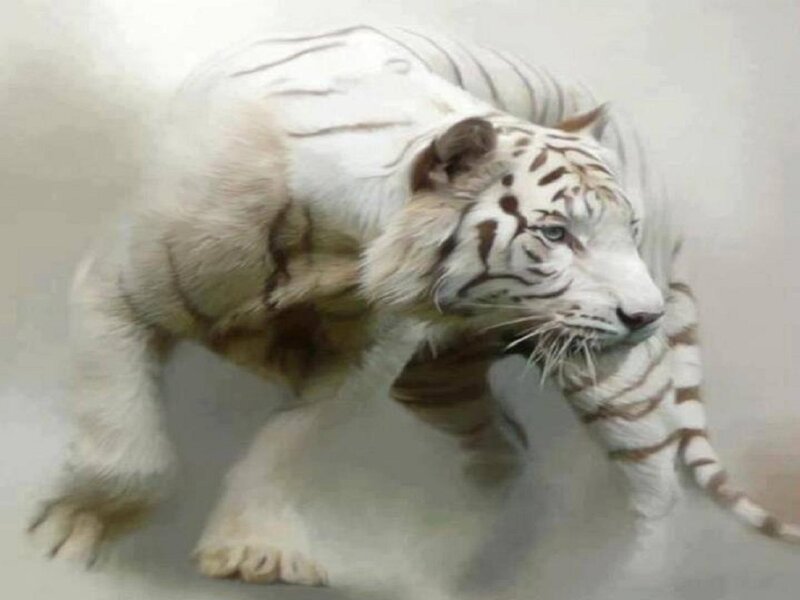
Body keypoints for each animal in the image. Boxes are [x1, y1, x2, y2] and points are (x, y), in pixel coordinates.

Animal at [28, 24, 799, 587]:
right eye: (556, 234)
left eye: (625, 232)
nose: (647, 318)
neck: (335, 248)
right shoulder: (116, 291)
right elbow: (123, 443)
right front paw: (70, 538)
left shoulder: (363, 364)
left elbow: (287, 445)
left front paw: (251, 550)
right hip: (439, 381)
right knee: (504, 450)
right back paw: (445, 562)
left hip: (611, 382)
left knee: (652, 492)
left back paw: (612, 574)